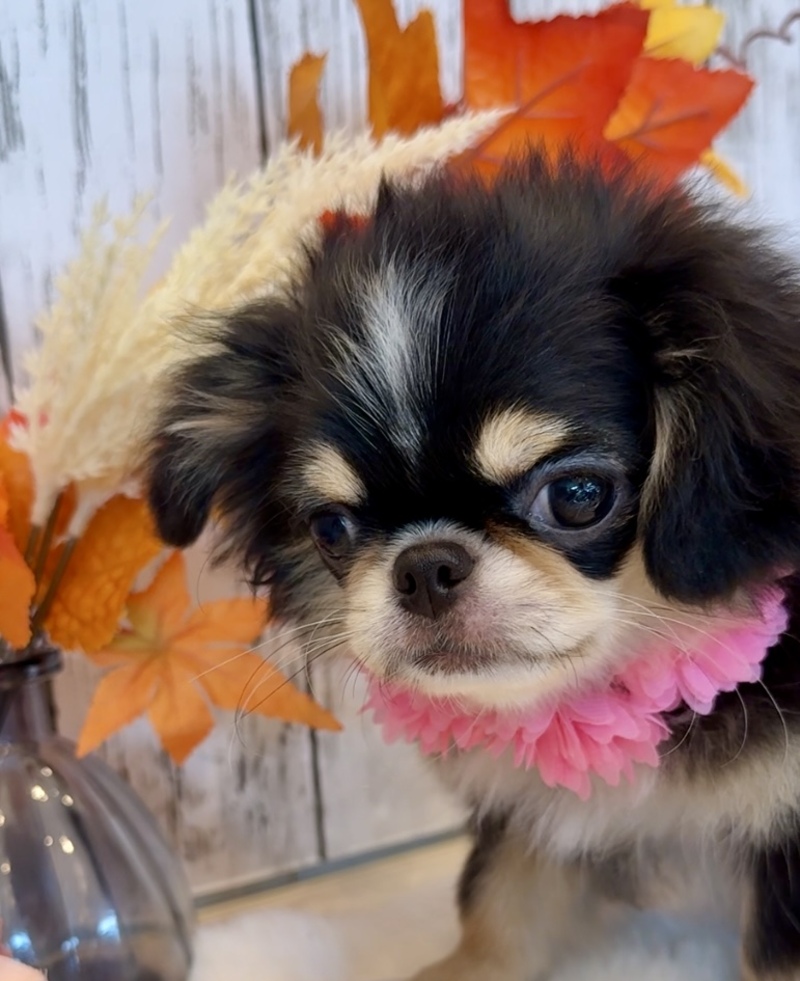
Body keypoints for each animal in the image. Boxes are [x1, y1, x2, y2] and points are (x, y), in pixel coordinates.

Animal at [147, 150, 800, 980]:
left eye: (578, 495)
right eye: (332, 528)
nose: (425, 566)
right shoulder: (521, 806)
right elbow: (501, 888)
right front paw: (467, 966)